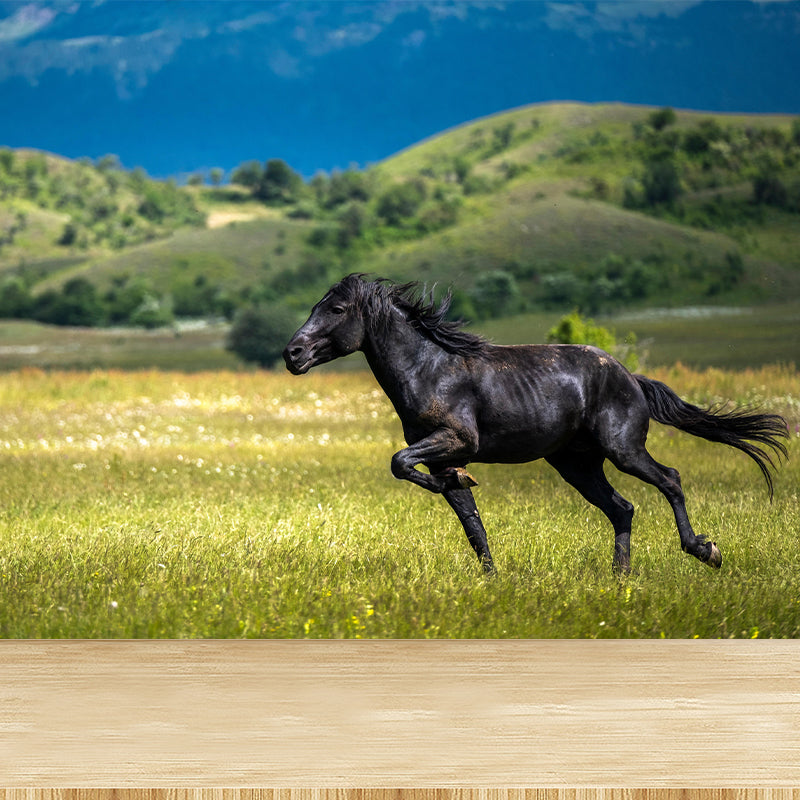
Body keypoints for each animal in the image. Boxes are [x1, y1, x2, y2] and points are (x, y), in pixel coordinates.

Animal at [283, 274, 788, 575]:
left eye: (336, 310)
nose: (292, 354)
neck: (430, 369)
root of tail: (631, 377)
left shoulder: (455, 439)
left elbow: (399, 462)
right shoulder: (444, 455)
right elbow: (468, 518)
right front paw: (489, 576)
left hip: (623, 450)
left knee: (670, 480)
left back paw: (704, 550)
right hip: (577, 465)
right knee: (622, 508)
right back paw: (621, 578)